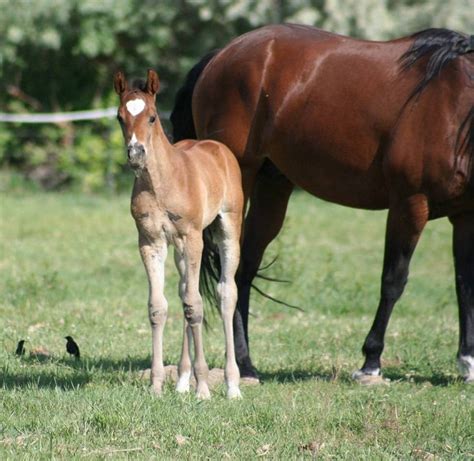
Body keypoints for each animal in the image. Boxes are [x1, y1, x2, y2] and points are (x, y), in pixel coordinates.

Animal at [113, 70, 243, 398]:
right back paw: (183, 381)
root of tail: (216, 146)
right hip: (180, 251)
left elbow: (195, 306)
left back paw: (232, 385)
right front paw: (157, 385)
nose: (136, 154)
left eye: (152, 117)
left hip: (227, 229)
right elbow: (159, 307)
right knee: (185, 289)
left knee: (225, 293)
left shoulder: (192, 237)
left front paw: (204, 389)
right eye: (120, 117)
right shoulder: (151, 242)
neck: (162, 182)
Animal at [170, 26, 474, 384]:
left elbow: (465, 283)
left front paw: (468, 361)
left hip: (272, 188)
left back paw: (246, 365)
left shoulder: (466, 216)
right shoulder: (410, 205)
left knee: (244, 268)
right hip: (237, 185)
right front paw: (370, 362)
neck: (454, 105)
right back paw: (242, 366)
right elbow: (393, 280)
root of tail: (222, 55)